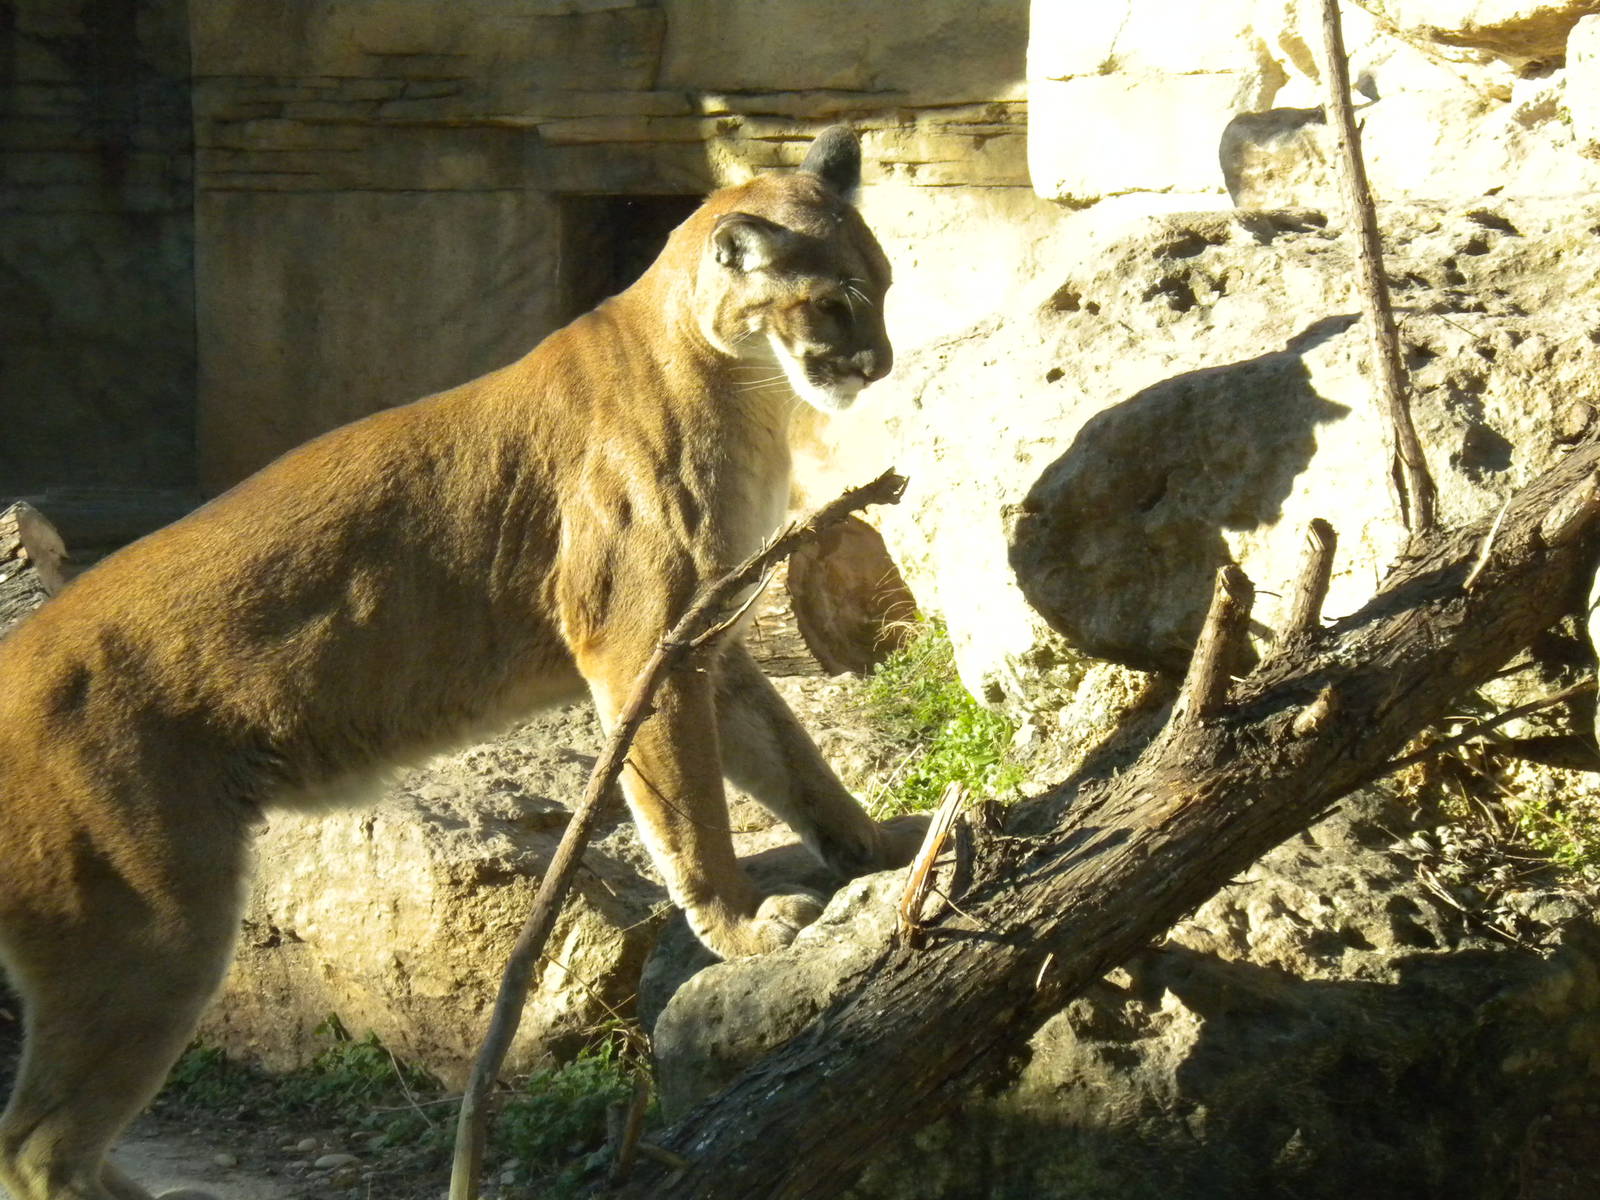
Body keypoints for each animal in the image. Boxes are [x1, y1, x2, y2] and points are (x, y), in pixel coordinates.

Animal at [0, 125, 909, 1200]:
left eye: (883, 286)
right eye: (836, 301)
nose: (881, 362)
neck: (745, 383)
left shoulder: (711, 646)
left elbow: (796, 763)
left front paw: (880, 850)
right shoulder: (649, 649)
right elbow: (692, 816)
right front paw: (741, 929)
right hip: (150, 928)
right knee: (37, 1145)